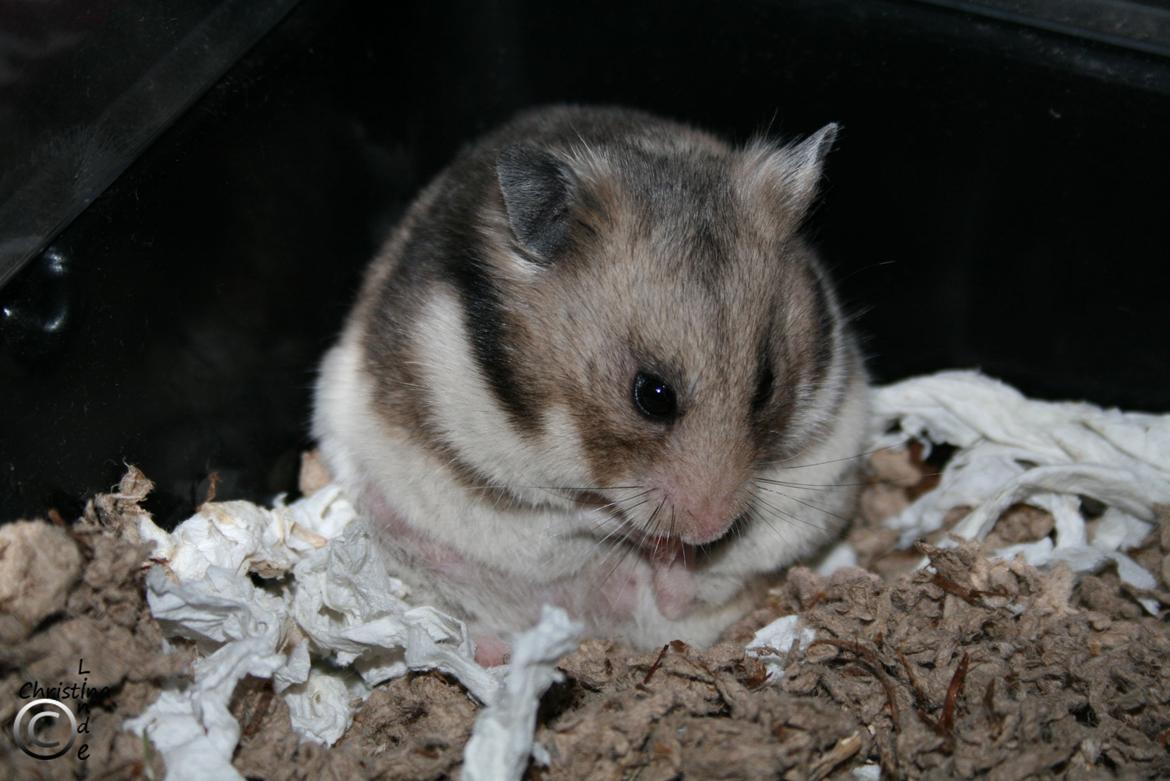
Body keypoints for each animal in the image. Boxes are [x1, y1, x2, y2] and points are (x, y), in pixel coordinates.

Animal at [313, 105, 869, 664]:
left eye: (767, 384)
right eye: (652, 395)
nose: (709, 531)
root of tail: (589, 624)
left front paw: (669, 547)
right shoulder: (492, 454)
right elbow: (576, 509)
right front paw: (643, 534)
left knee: (677, 599)